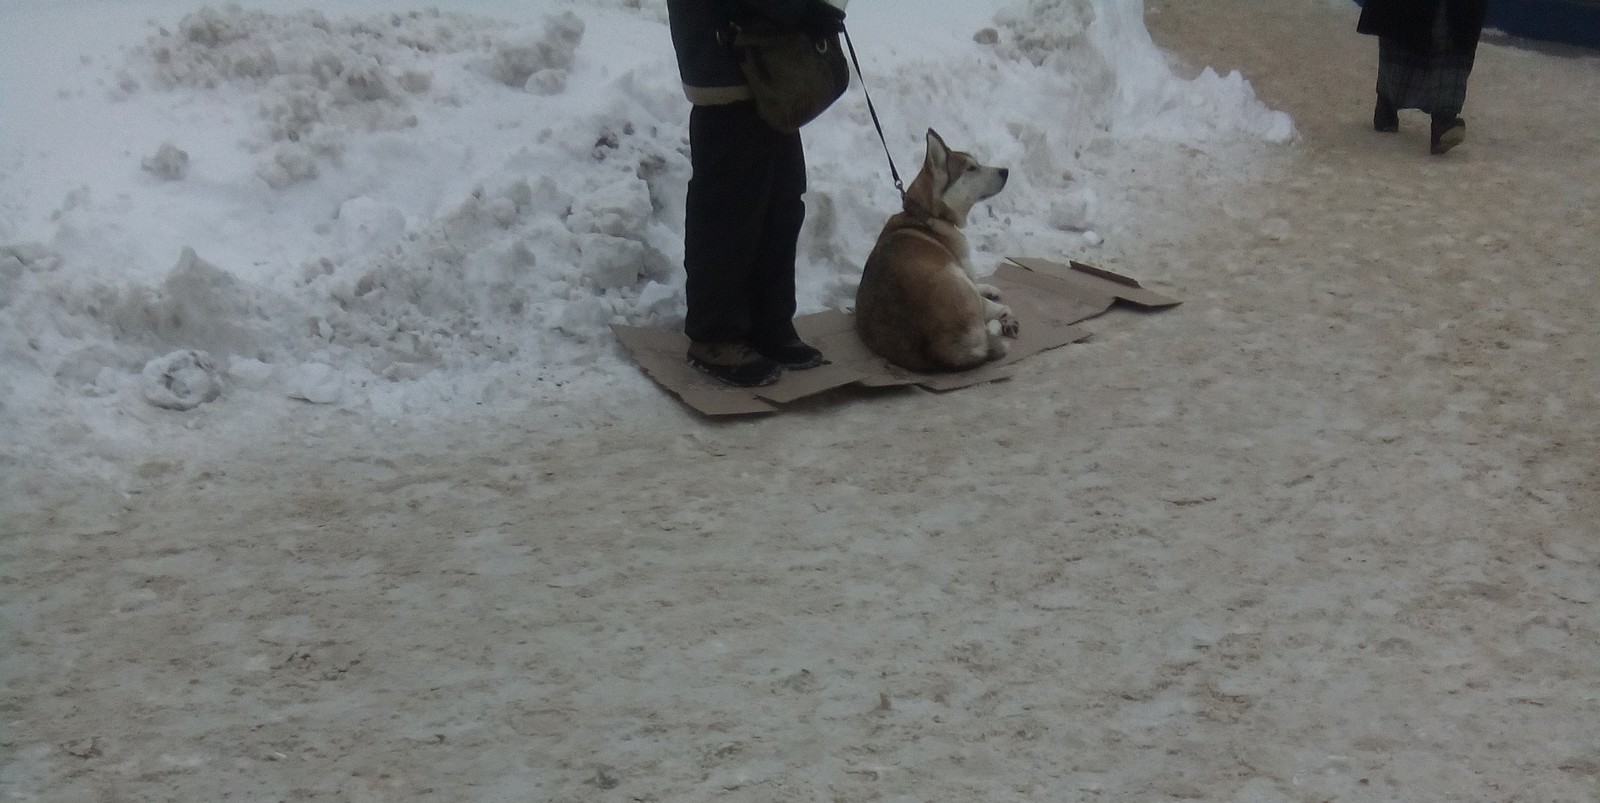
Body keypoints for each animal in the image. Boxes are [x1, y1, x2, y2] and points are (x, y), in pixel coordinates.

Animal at [857, 129, 1017, 372]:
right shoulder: (962, 267)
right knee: (992, 318)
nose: (1005, 171)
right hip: (956, 277)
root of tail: (939, 349)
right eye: (971, 168)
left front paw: (989, 287)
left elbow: (979, 281)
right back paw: (1001, 322)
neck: (926, 214)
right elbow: (975, 281)